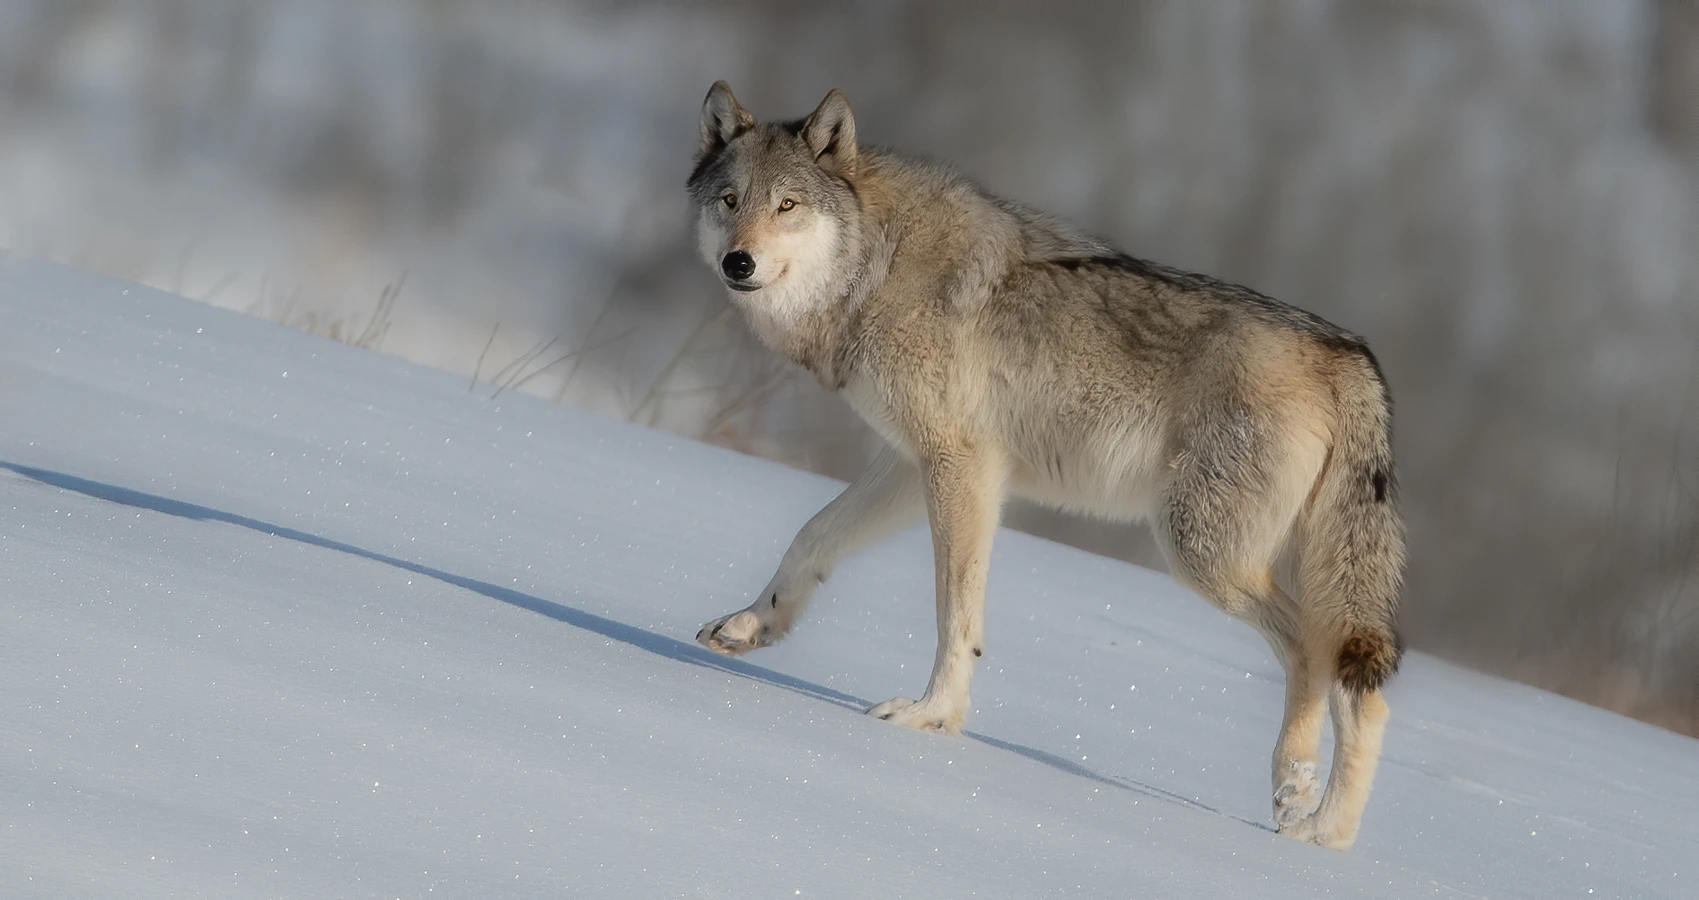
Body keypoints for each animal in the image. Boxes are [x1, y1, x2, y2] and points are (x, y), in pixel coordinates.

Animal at [682, 78, 1399, 849]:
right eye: (730, 200)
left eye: (787, 205)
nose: (738, 263)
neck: (878, 264)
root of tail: (1348, 351)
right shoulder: (908, 463)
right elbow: (810, 539)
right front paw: (750, 626)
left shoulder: (961, 466)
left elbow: (955, 611)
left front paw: (930, 717)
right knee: (1353, 687)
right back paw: (1319, 827)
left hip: (1199, 553)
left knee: (1317, 658)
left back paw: (1303, 807)